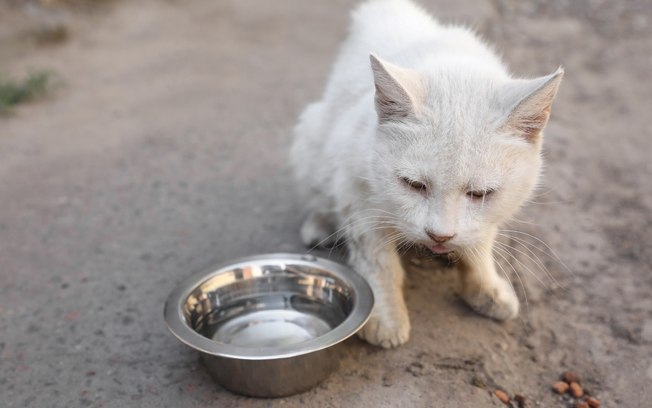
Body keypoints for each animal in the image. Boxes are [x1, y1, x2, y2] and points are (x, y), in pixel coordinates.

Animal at [290, 0, 560, 350]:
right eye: (414, 185)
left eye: (480, 194)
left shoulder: (487, 216)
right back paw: (321, 225)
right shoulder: (355, 191)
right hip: (312, 141)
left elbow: (480, 244)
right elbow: (378, 262)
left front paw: (485, 288)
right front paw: (385, 316)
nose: (440, 236)